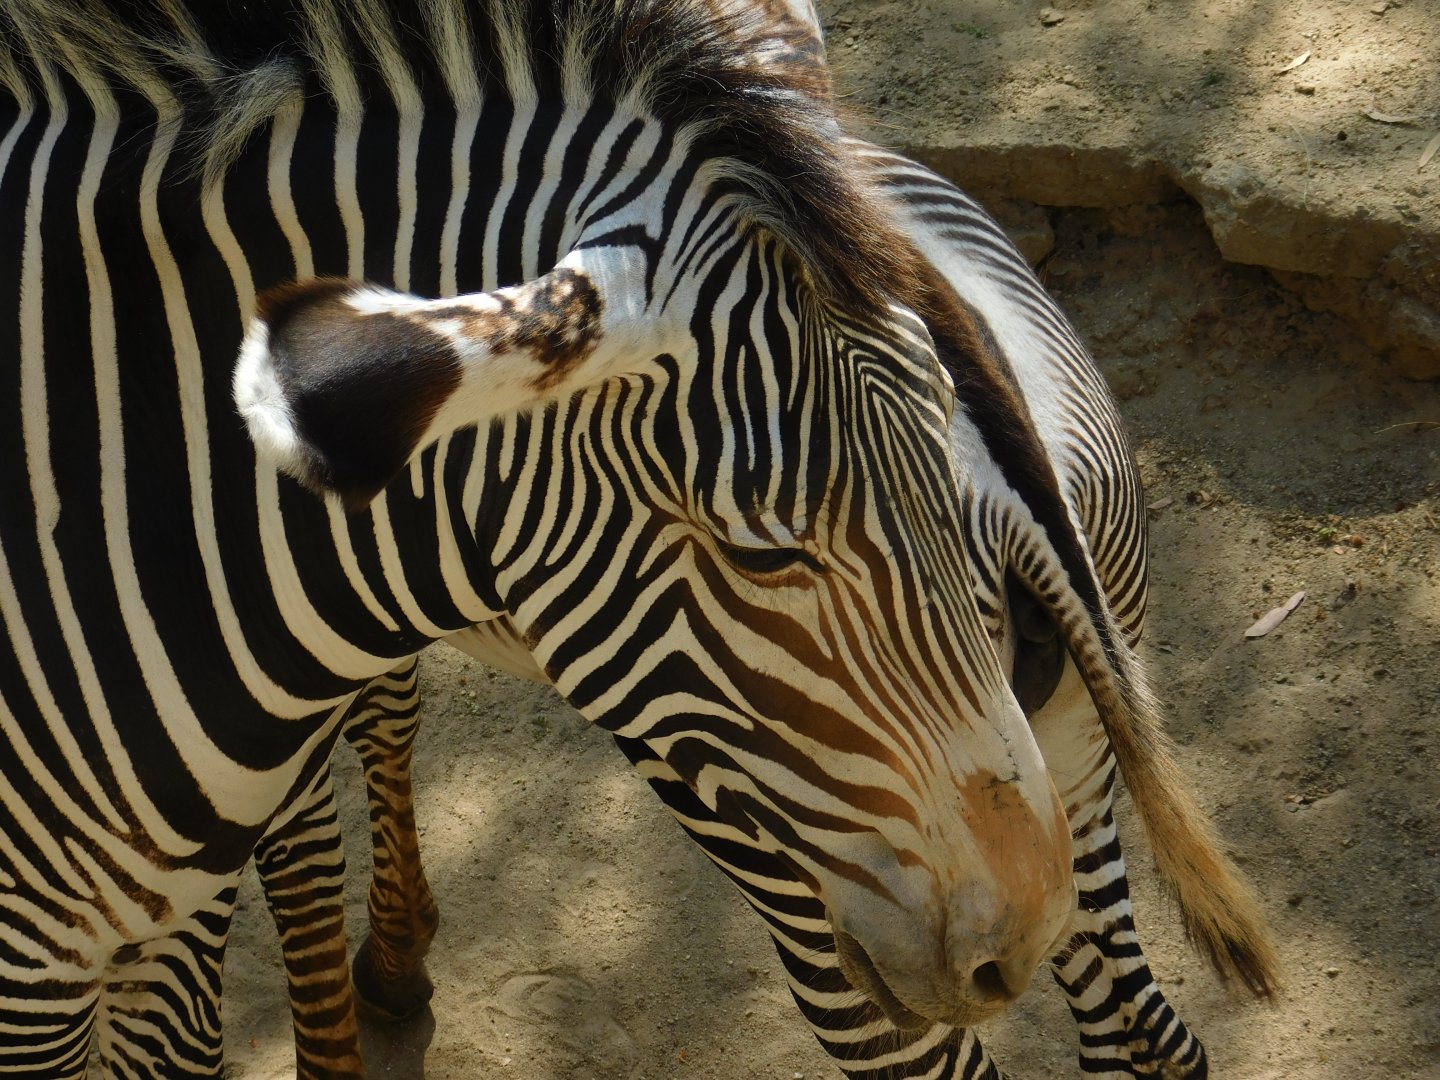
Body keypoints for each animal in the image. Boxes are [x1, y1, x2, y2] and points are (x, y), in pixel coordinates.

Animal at [0, 2, 1277, 1078]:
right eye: (762, 553)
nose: (1012, 932)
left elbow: (325, 807)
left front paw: (385, 971)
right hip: (1068, 759)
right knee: (1147, 1037)